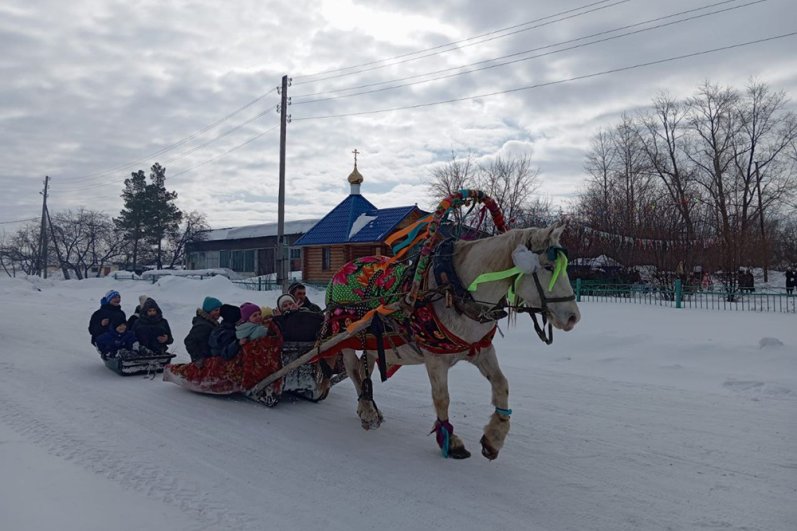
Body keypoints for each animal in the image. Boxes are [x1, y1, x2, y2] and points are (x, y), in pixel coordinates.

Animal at [324, 222, 580, 460]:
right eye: (548, 267)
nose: (573, 317)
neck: (455, 290)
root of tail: (340, 271)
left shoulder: (481, 350)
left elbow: (501, 385)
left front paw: (494, 437)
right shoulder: (435, 358)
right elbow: (442, 398)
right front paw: (450, 440)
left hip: (373, 344)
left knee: (363, 370)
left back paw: (367, 407)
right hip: (346, 339)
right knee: (354, 370)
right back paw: (367, 411)